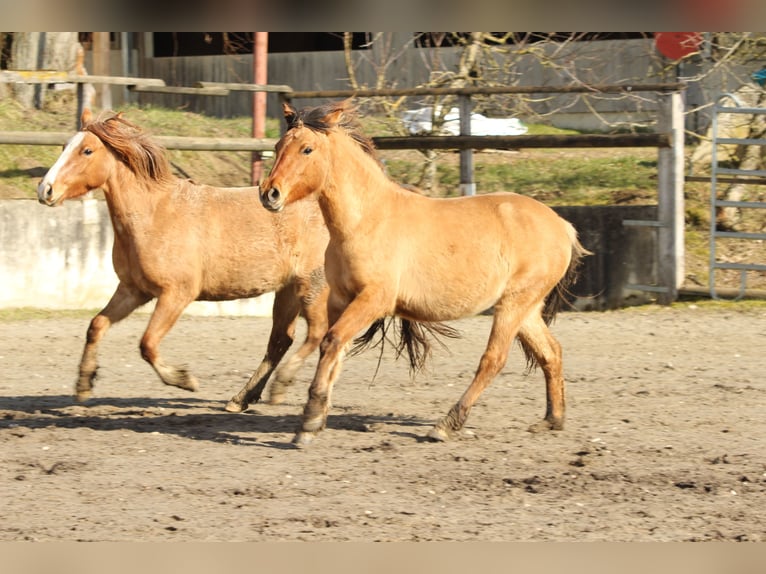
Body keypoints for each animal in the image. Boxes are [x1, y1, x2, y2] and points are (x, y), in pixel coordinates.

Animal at [36, 110, 330, 412]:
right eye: (64, 146)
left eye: (87, 150)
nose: (45, 189)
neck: (155, 214)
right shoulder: (133, 291)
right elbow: (96, 325)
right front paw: (84, 384)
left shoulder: (176, 294)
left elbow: (147, 343)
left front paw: (183, 379)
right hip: (288, 290)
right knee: (281, 340)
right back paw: (241, 398)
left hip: (313, 287)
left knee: (318, 333)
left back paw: (280, 386)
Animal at [260, 101, 592, 448]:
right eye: (277, 147)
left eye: (307, 149)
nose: (269, 194)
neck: (365, 221)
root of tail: (562, 225)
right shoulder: (341, 299)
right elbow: (334, 349)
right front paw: (312, 420)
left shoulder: (374, 300)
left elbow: (331, 341)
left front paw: (309, 421)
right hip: (525, 308)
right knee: (550, 352)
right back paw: (552, 419)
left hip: (513, 304)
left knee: (494, 359)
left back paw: (445, 425)